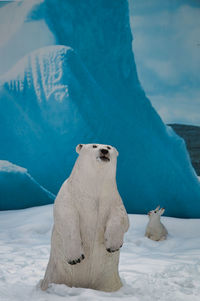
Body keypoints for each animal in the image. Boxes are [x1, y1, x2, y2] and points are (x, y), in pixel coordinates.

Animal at [40, 143, 130, 290]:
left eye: (109, 147)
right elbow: (66, 216)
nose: (104, 151)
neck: (93, 187)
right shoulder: (69, 194)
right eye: (94, 145)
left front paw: (113, 246)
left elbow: (121, 217)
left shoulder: (113, 199)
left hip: (108, 279)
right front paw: (76, 258)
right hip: (57, 274)